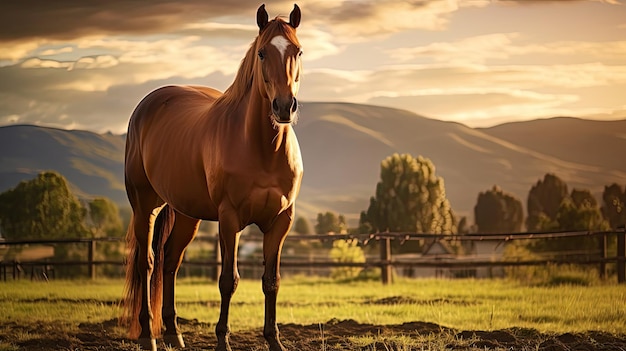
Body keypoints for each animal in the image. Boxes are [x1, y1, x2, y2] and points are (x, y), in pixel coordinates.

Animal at [121, 4, 302, 351]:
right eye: (262, 53)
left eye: (298, 51)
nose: (284, 107)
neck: (262, 149)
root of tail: (146, 106)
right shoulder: (229, 219)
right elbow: (228, 281)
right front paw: (222, 340)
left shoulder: (281, 220)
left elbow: (271, 281)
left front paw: (274, 340)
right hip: (145, 206)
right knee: (147, 263)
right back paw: (149, 336)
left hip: (186, 214)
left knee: (169, 261)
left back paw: (173, 333)